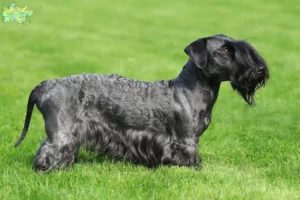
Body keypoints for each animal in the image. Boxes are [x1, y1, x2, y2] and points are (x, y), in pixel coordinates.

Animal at [14, 33, 270, 171]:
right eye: (226, 50)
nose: (260, 69)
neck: (189, 88)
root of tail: (44, 85)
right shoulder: (185, 140)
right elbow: (189, 158)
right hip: (61, 132)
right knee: (49, 150)